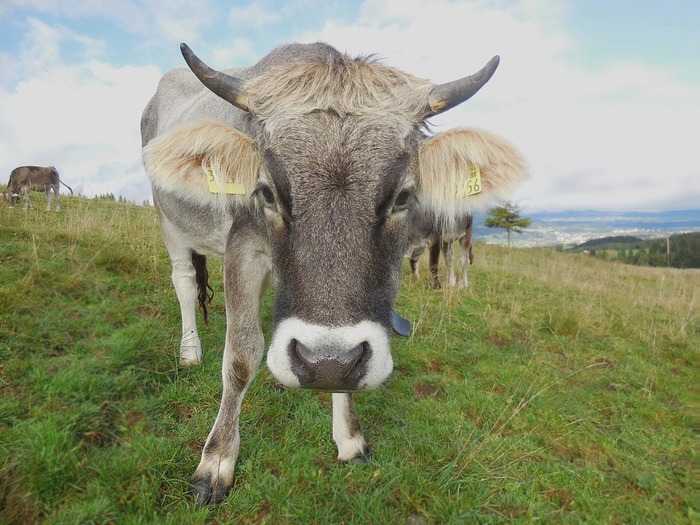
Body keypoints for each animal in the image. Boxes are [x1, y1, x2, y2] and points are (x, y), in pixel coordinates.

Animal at [141, 42, 524, 504]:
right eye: (266, 191)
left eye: (403, 196)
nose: (322, 363)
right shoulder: (243, 246)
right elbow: (241, 355)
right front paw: (216, 463)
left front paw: (350, 437)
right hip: (167, 218)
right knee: (183, 281)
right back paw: (190, 351)